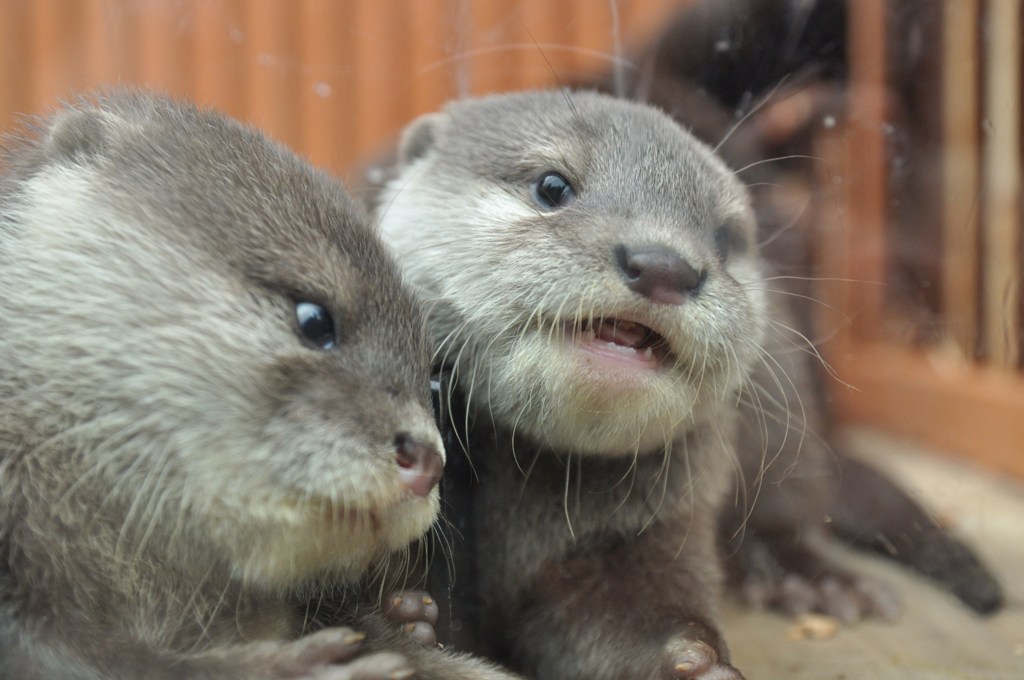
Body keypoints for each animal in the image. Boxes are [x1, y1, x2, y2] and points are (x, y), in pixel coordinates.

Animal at [376, 90, 753, 680]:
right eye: (553, 187)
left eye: (724, 237)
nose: (663, 265)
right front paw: (407, 621)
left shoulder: (646, 532)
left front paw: (696, 662)